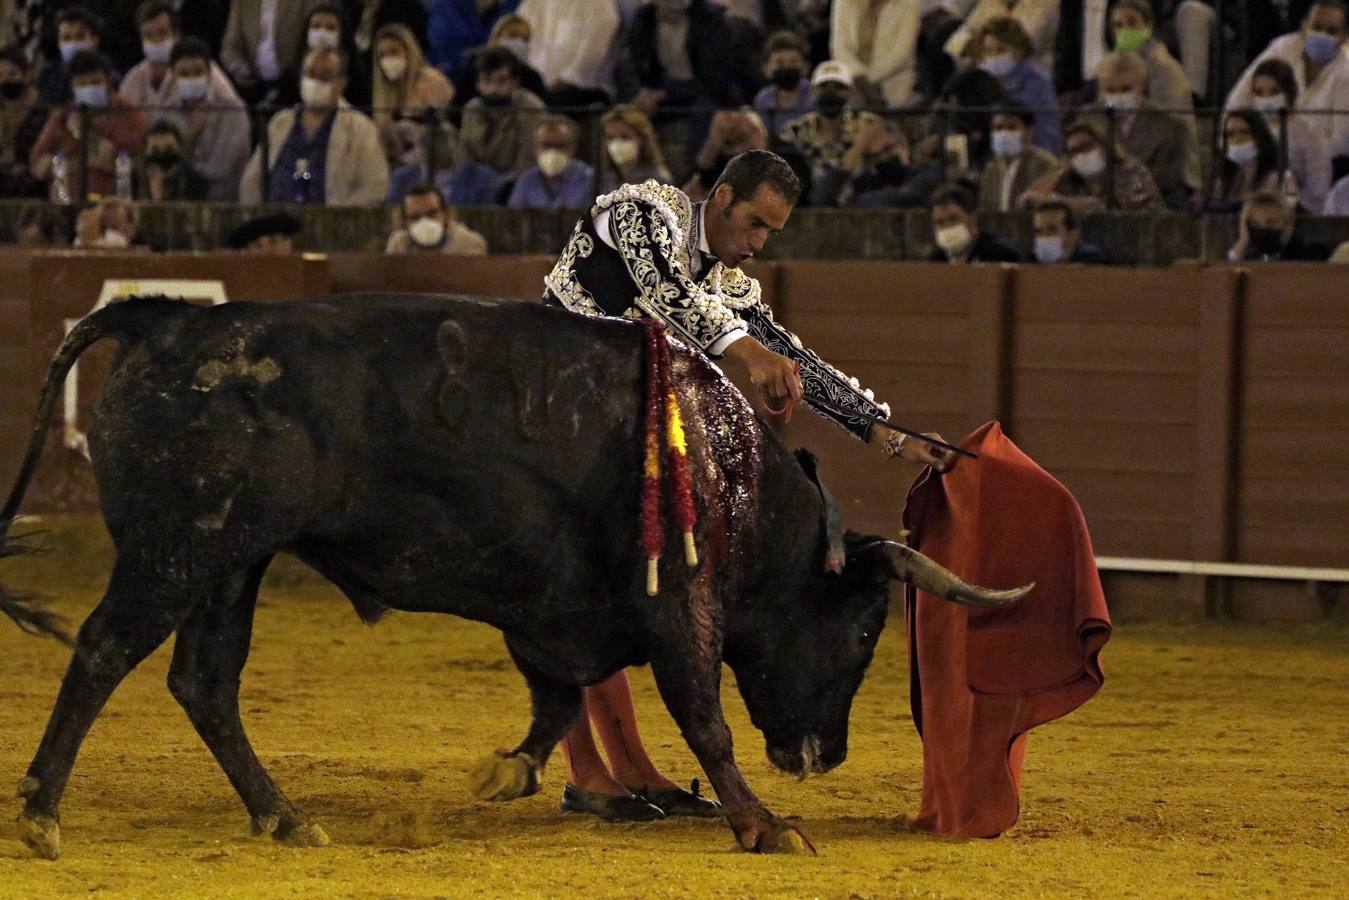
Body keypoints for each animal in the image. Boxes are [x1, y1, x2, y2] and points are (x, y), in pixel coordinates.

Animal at [0, 294, 1025, 858]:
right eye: (866, 629)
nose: (825, 756)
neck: (727, 467)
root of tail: (167, 318)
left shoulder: (557, 610)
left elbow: (561, 698)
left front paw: (511, 770)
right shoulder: (676, 604)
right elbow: (704, 717)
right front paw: (765, 824)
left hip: (232, 561)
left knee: (204, 680)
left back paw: (283, 817)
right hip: (176, 550)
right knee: (103, 651)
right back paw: (43, 814)